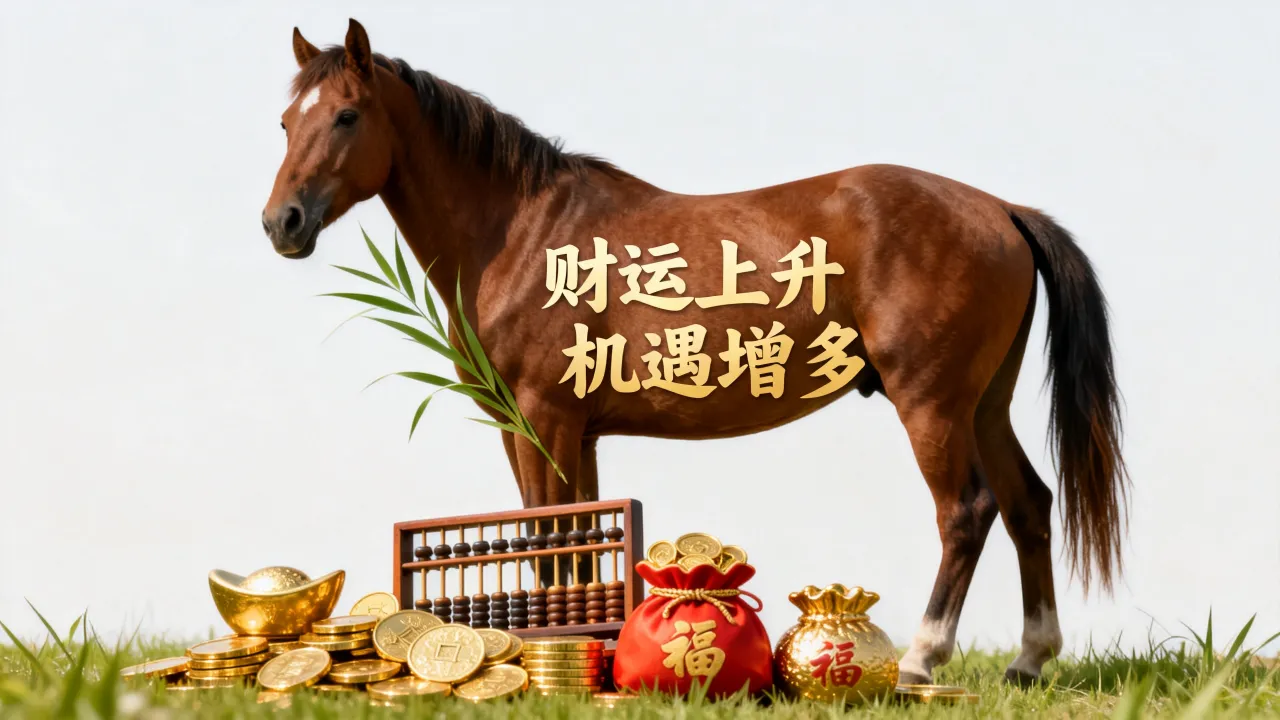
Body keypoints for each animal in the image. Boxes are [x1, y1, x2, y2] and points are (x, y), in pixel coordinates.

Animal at [261, 19, 1128, 686]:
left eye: (346, 116)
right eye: (285, 123)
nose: (283, 223)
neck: (523, 232)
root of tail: (1002, 210)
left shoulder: (542, 416)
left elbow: (547, 536)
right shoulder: (568, 429)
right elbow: (579, 541)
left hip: (933, 403)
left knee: (966, 511)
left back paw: (921, 658)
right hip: (984, 402)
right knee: (1029, 505)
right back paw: (1029, 661)